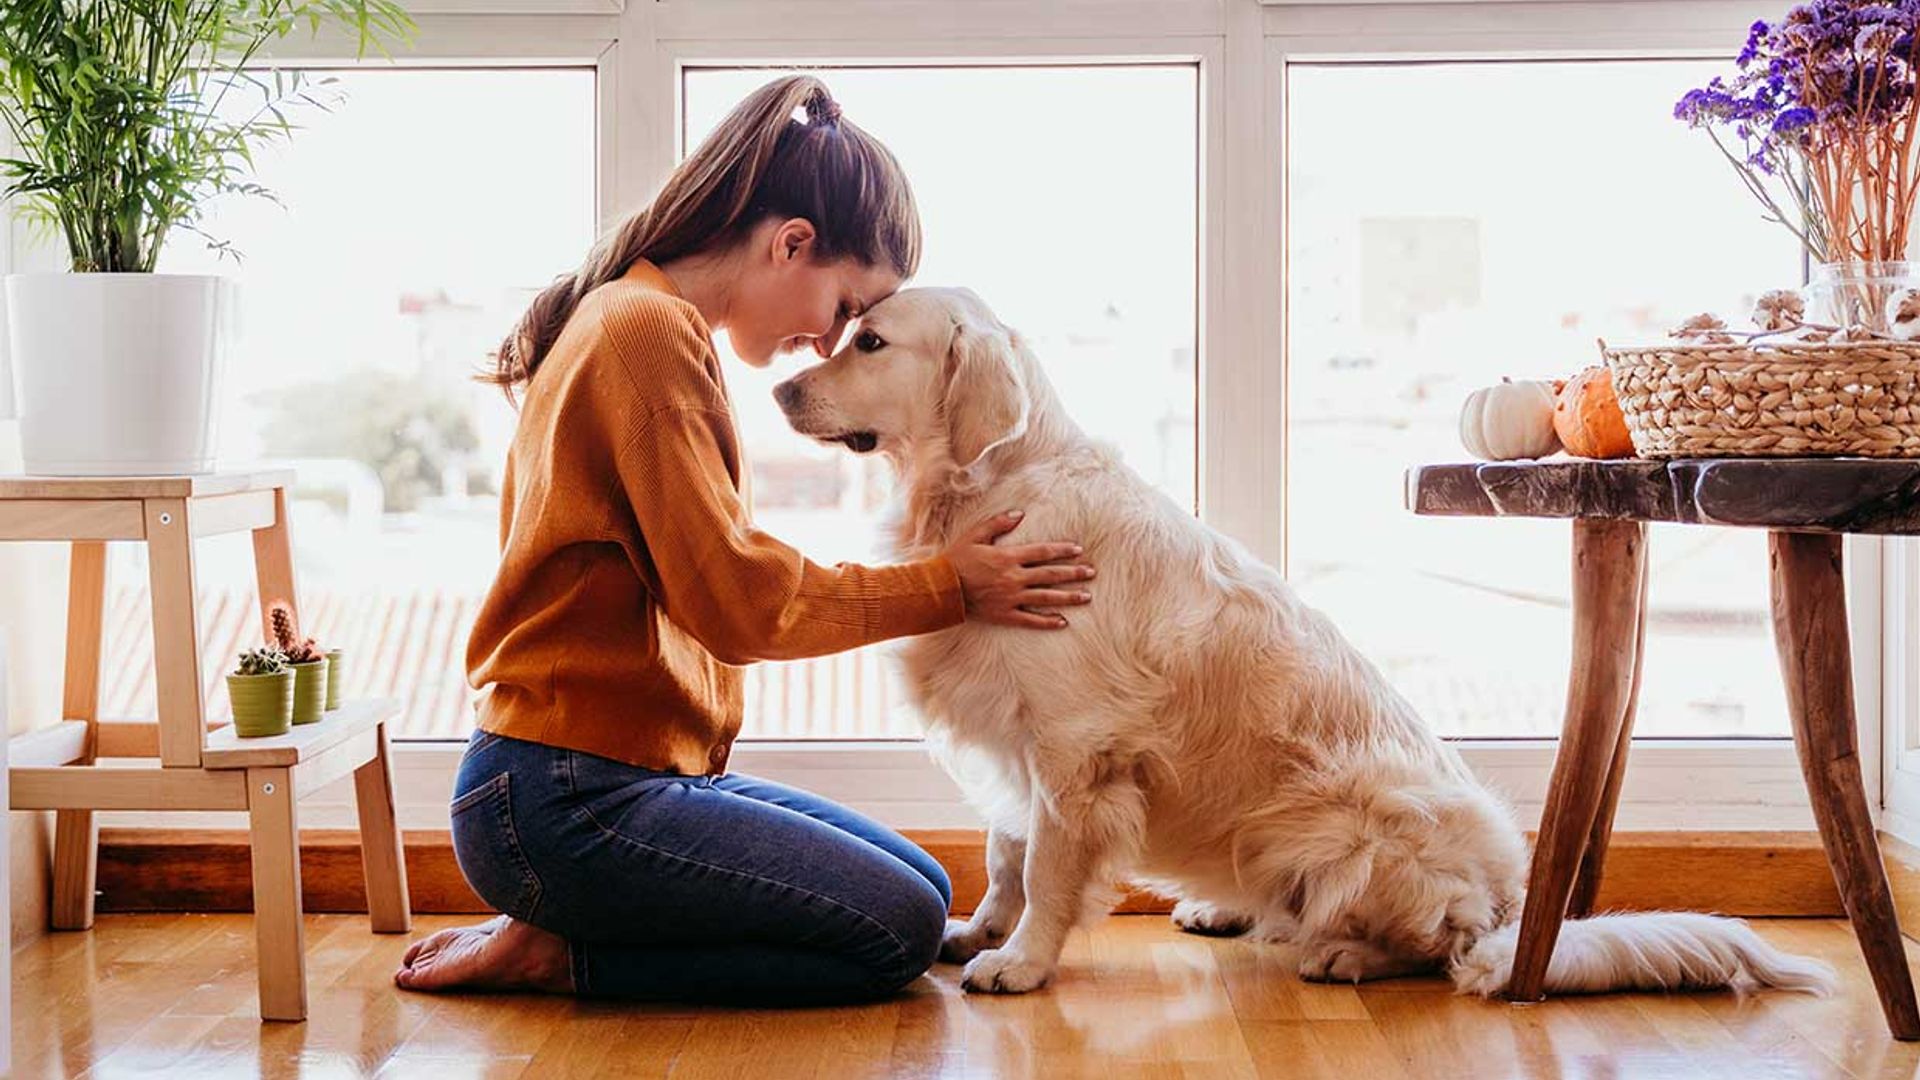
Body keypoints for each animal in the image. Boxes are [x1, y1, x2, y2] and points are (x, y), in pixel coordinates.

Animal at [771, 284, 1835, 991]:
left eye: (870, 342)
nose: (778, 392)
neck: (986, 490)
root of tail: (1507, 907)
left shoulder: (1074, 748)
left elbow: (1045, 866)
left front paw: (1021, 961)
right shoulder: (1014, 733)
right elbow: (1001, 849)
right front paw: (979, 931)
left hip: (1350, 826)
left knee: (1438, 949)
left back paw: (1343, 952)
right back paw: (1225, 906)